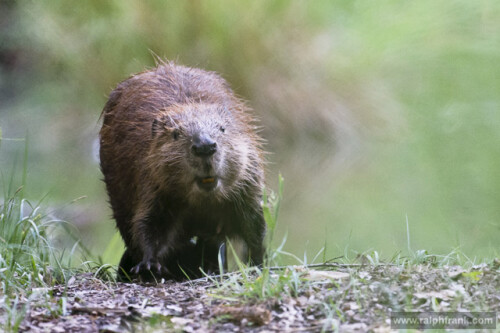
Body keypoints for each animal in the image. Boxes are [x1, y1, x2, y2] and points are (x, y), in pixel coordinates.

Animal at [97, 60, 266, 280]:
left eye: (222, 129)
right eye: (176, 134)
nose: (205, 147)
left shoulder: (247, 180)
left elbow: (254, 223)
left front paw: (258, 263)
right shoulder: (152, 182)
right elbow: (148, 224)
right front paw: (149, 265)